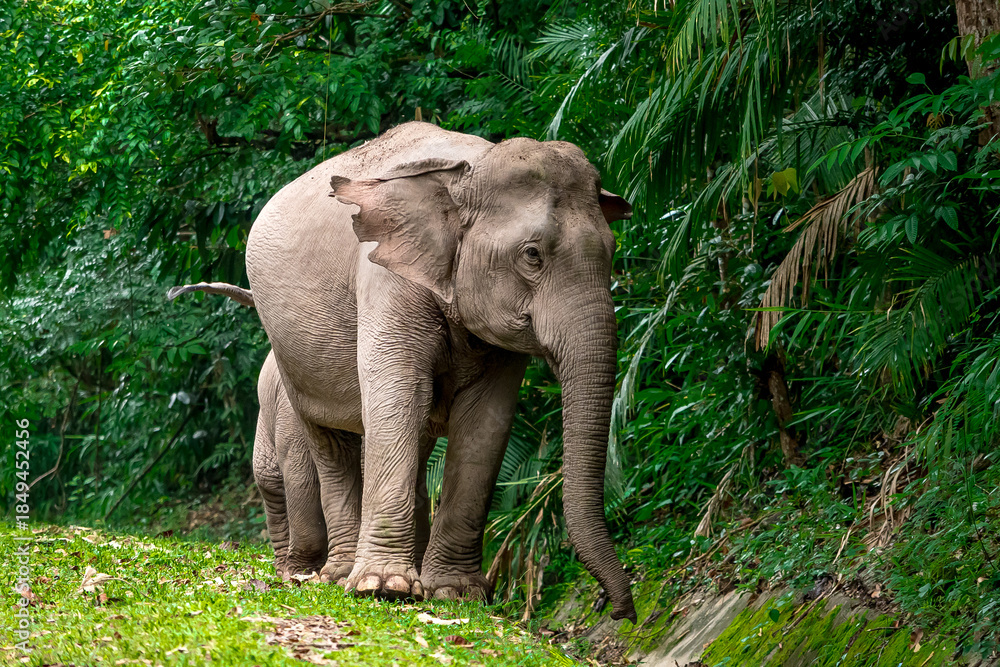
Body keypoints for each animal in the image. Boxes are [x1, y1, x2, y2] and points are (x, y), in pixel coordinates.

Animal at [174, 121, 636, 622]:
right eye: (532, 255)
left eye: (612, 250)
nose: (619, 612)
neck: (468, 171)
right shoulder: (385, 276)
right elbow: (398, 396)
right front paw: (383, 588)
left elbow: (486, 422)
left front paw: (455, 593)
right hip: (291, 357)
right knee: (326, 441)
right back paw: (335, 575)